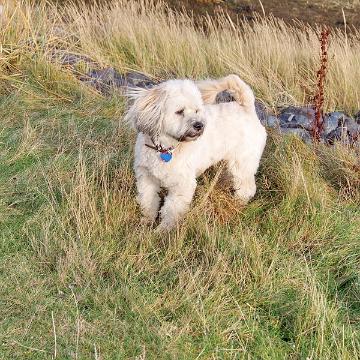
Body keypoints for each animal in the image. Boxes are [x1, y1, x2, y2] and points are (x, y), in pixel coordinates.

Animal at [125, 74, 266, 231]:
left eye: (197, 110)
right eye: (179, 111)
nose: (199, 125)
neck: (165, 148)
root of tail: (246, 108)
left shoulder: (182, 185)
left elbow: (171, 210)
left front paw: (163, 231)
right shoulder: (146, 177)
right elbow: (148, 201)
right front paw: (146, 222)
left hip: (242, 163)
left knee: (247, 188)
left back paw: (237, 203)